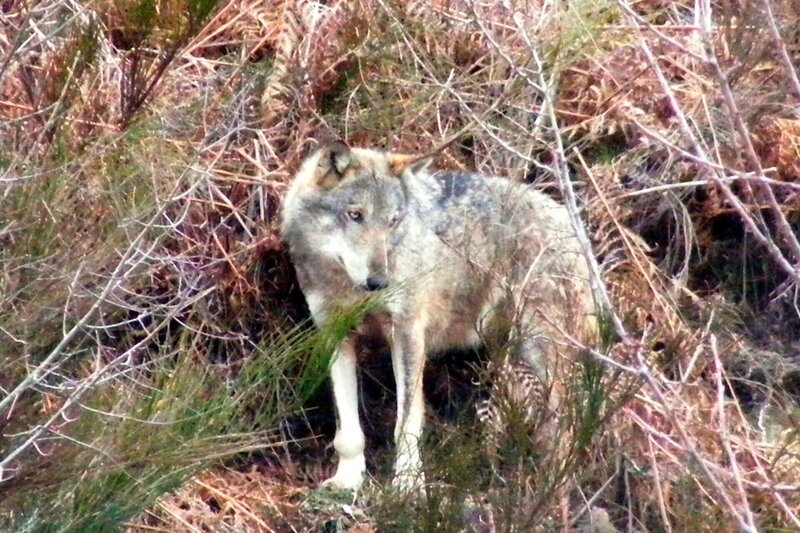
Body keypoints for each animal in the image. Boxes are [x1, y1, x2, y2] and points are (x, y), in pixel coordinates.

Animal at [281, 142, 595, 492]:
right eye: (355, 215)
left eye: (392, 221)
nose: (379, 281)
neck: (347, 286)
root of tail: (574, 228)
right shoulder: (335, 335)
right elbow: (348, 428)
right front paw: (348, 478)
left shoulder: (407, 334)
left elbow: (406, 424)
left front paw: (407, 485)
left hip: (541, 355)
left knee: (567, 426)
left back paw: (552, 488)